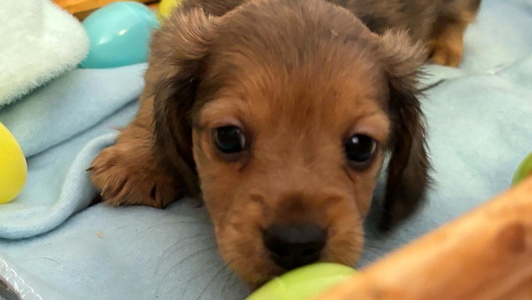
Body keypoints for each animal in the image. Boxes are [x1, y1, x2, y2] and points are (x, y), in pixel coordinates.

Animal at [89, 0, 480, 286]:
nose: (296, 244)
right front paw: (141, 163)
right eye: (228, 138)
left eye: (361, 146)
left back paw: (444, 48)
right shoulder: (171, 37)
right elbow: (153, 87)